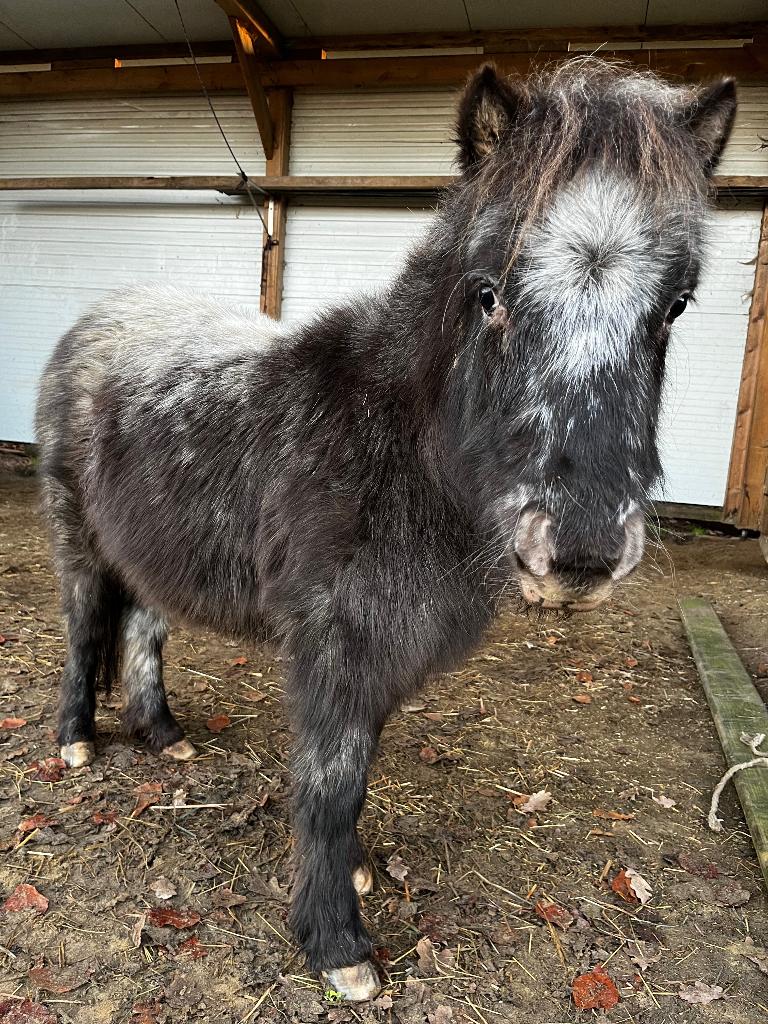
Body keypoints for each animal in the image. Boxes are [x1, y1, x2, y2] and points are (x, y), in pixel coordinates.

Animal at [36, 60, 735, 1000]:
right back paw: (77, 743)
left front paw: (357, 871)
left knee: (144, 626)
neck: (394, 444)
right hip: (77, 538)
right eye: (488, 293)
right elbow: (331, 781)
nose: (581, 548)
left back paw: (164, 736)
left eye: (675, 306)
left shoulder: (379, 648)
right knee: (85, 630)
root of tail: (101, 319)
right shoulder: (336, 642)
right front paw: (338, 944)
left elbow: (358, 773)